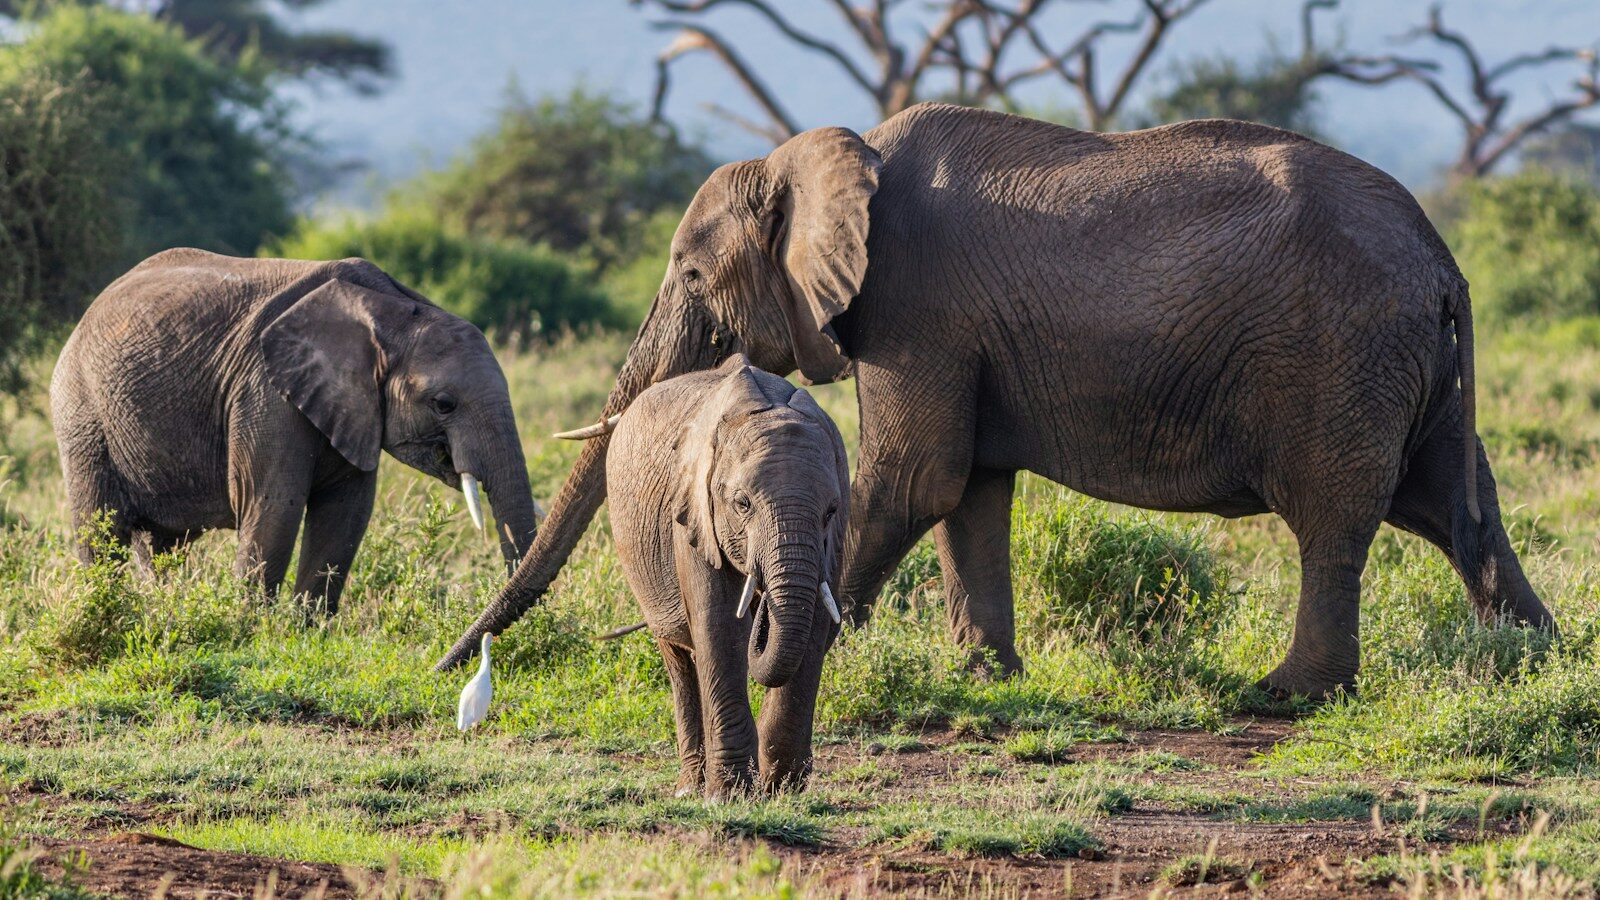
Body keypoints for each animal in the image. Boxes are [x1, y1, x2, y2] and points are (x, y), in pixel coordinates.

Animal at [52, 249, 539, 613]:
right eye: (443, 404)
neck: (391, 309)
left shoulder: (353, 408)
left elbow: (345, 515)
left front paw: (307, 634)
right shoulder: (264, 391)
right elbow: (274, 507)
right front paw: (250, 633)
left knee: (161, 546)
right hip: (82, 415)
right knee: (100, 533)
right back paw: (106, 610)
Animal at [438, 102, 1553, 700]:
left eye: (690, 274)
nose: (453, 662)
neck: (823, 153)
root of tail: (1443, 262)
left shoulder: (916, 305)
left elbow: (909, 479)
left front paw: (823, 658)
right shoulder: (957, 333)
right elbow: (966, 490)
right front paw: (984, 679)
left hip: (1341, 356)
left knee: (1335, 516)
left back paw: (1287, 696)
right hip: (1408, 363)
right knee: (1453, 505)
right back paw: (1529, 663)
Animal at [608, 354, 848, 798]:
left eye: (831, 511)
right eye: (742, 504)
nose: (762, 610)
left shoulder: (834, 539)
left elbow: (816, 624)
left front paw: (782, 786)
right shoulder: (692, 513)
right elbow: (718, 626)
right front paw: (730, 795)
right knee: (679, 659)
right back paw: (690, 788)